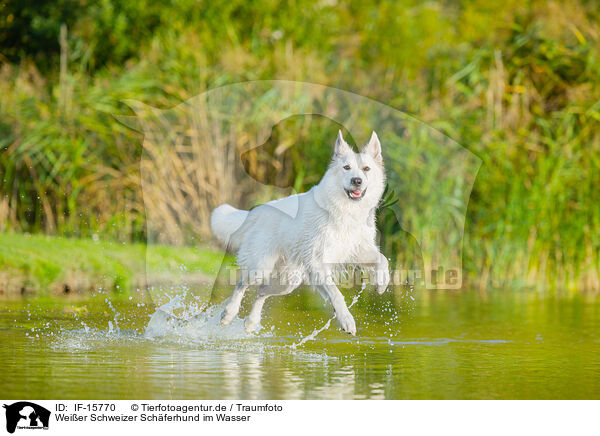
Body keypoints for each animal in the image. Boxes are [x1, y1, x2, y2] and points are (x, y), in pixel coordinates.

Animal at [210, 129, 390, 334]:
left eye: (366, 169)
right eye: (346, 167)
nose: (357, 181)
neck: (345, 210)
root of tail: (257, 210)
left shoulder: (355, 250)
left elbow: (382, 259)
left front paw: (381, 283)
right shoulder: (319, 262)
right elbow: (336, 293)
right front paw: (346, 320)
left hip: (288, 281)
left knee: (261, 291)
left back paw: (251, 323)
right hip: (260, 268)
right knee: (242, 284)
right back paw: (229, 313)